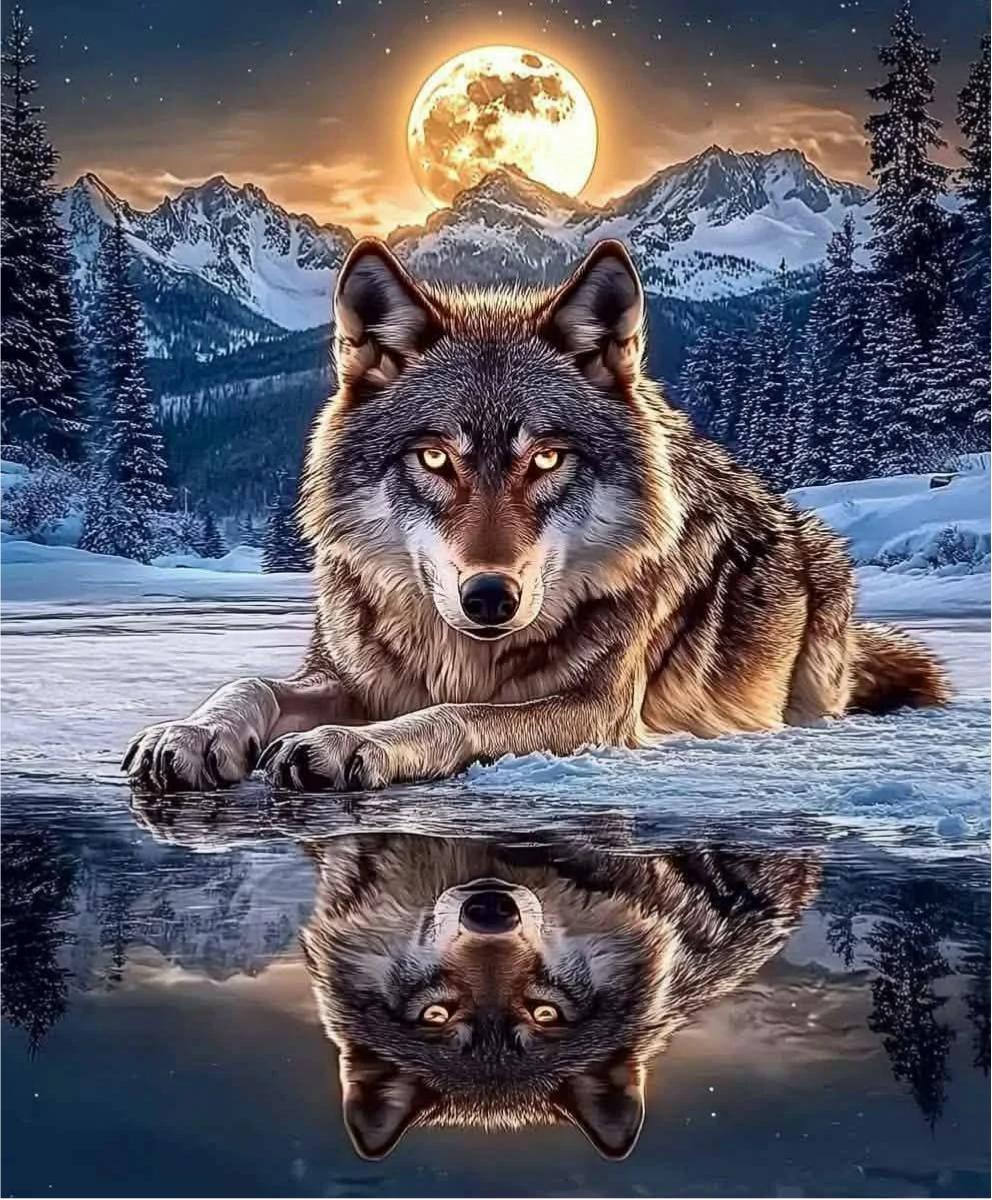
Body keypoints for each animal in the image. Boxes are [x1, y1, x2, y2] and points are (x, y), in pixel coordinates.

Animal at [123, 237, 949, 793]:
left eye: (546, 459)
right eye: (436, 459)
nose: (490, 596)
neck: (458, 652)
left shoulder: (594, 711)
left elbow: (459, 714)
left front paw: (354, 746)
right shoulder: (347, 674)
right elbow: (251, 684)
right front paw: (188, 734)